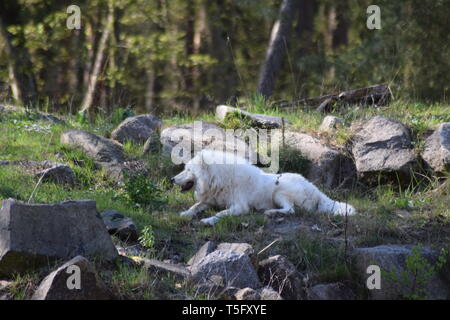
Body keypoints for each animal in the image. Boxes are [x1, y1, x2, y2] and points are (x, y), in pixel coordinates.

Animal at [171, 149, 356, 225]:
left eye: (188, 170)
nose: (172, 179)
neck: (219, 179)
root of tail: (316, 190)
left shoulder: (240, 207)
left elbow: (221, 214)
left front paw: (208, 220)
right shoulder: (210, 201)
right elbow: (196, 206)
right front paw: (186, 214)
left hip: (279, 192)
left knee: (291, 210)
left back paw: (271, 213)